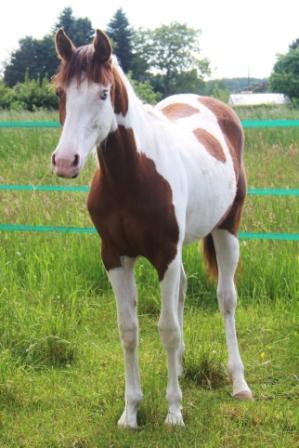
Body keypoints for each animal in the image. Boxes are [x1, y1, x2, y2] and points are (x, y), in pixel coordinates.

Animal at [52, 29, 253, 428]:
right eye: (60, 93)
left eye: (103, 93)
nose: (66, 161)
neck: (133, 176)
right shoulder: (116, 257)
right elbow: (129, 331)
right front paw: (131, 412)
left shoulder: (164, 255)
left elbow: (168, 329)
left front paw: (174, 412)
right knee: (184, 291)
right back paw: (183, 368)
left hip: (227, 231)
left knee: (226, 299)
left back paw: (239, 382)